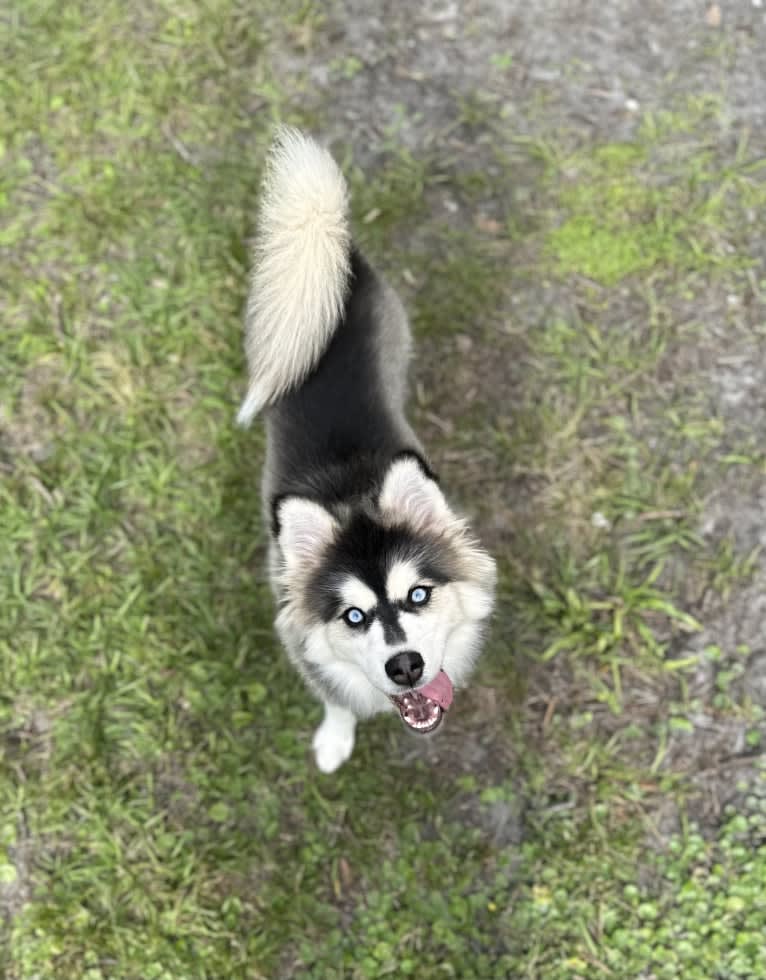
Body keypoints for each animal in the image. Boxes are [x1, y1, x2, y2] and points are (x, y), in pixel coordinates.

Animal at [238, 128, 498, 772]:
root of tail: (331, 257)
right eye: (353, 615)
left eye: (419, 594)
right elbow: (336, 700)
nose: (404, 666)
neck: (351, 491)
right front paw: (335, 740)